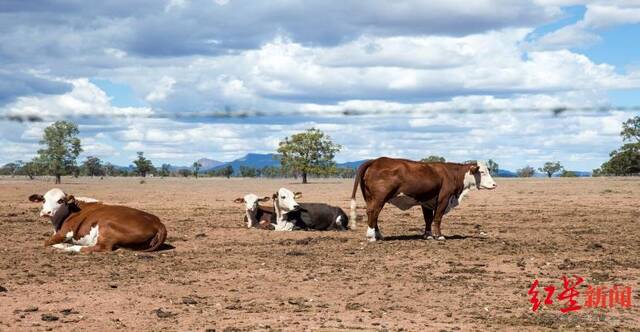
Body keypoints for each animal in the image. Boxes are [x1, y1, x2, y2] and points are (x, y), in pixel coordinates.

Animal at [28, 188, 168, 253]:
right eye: (43, 200)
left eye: (60, 200)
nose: (46, 212)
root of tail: (158, 223)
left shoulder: (65, 233)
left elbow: (46, 242)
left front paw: (64, 245)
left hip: (106, 225)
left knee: (100, 247)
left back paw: (70, 247)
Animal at [350, 158, 496, 241]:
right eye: (482, 172)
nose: (495, 184)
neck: (452, 174)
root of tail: (375, 161)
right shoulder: (444, 198)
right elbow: (437, 218)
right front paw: (439, 236)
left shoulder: (427, 201)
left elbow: (428, 219)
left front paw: (428, 235)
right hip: (379, 198)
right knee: (373, 212)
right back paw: (371, 236)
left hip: (369, 197)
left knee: (373, 215)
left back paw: (378, 235)